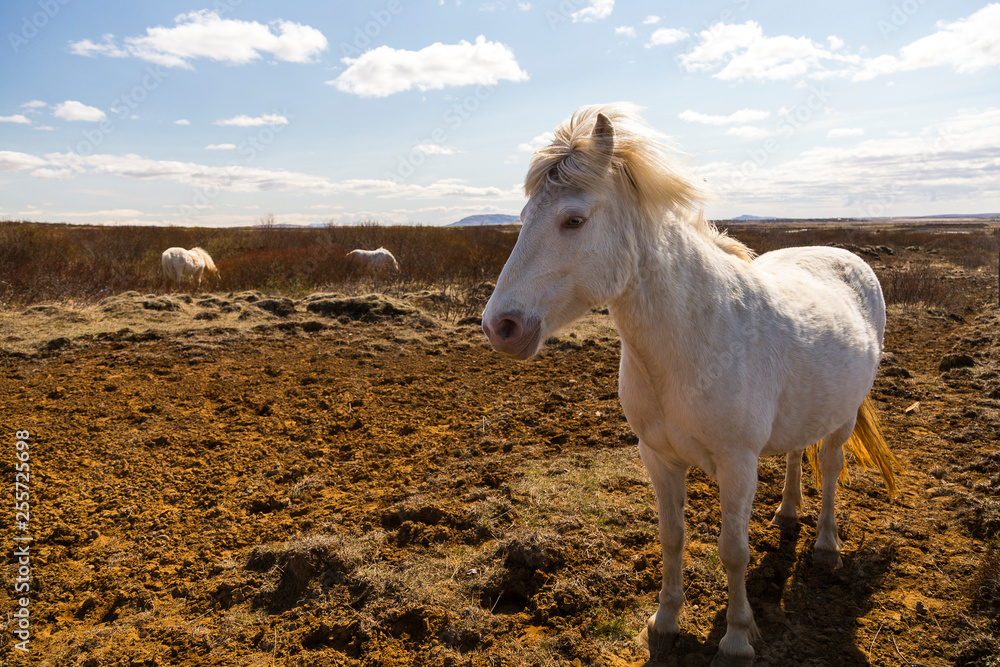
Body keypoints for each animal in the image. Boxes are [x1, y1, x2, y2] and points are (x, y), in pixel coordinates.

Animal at [481, 103, 898, 666]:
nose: (499, 326)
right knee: (796, 452)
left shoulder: (737, 463)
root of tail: (845, 257)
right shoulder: (658, 456)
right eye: (523, 220)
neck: (691, 341)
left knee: (831, 469)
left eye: (573, 219)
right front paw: (664, 623)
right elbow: (672, 537)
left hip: (843, 415)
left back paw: (826, 548)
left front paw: (738, 638)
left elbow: (733, 550)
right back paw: (788, 514)